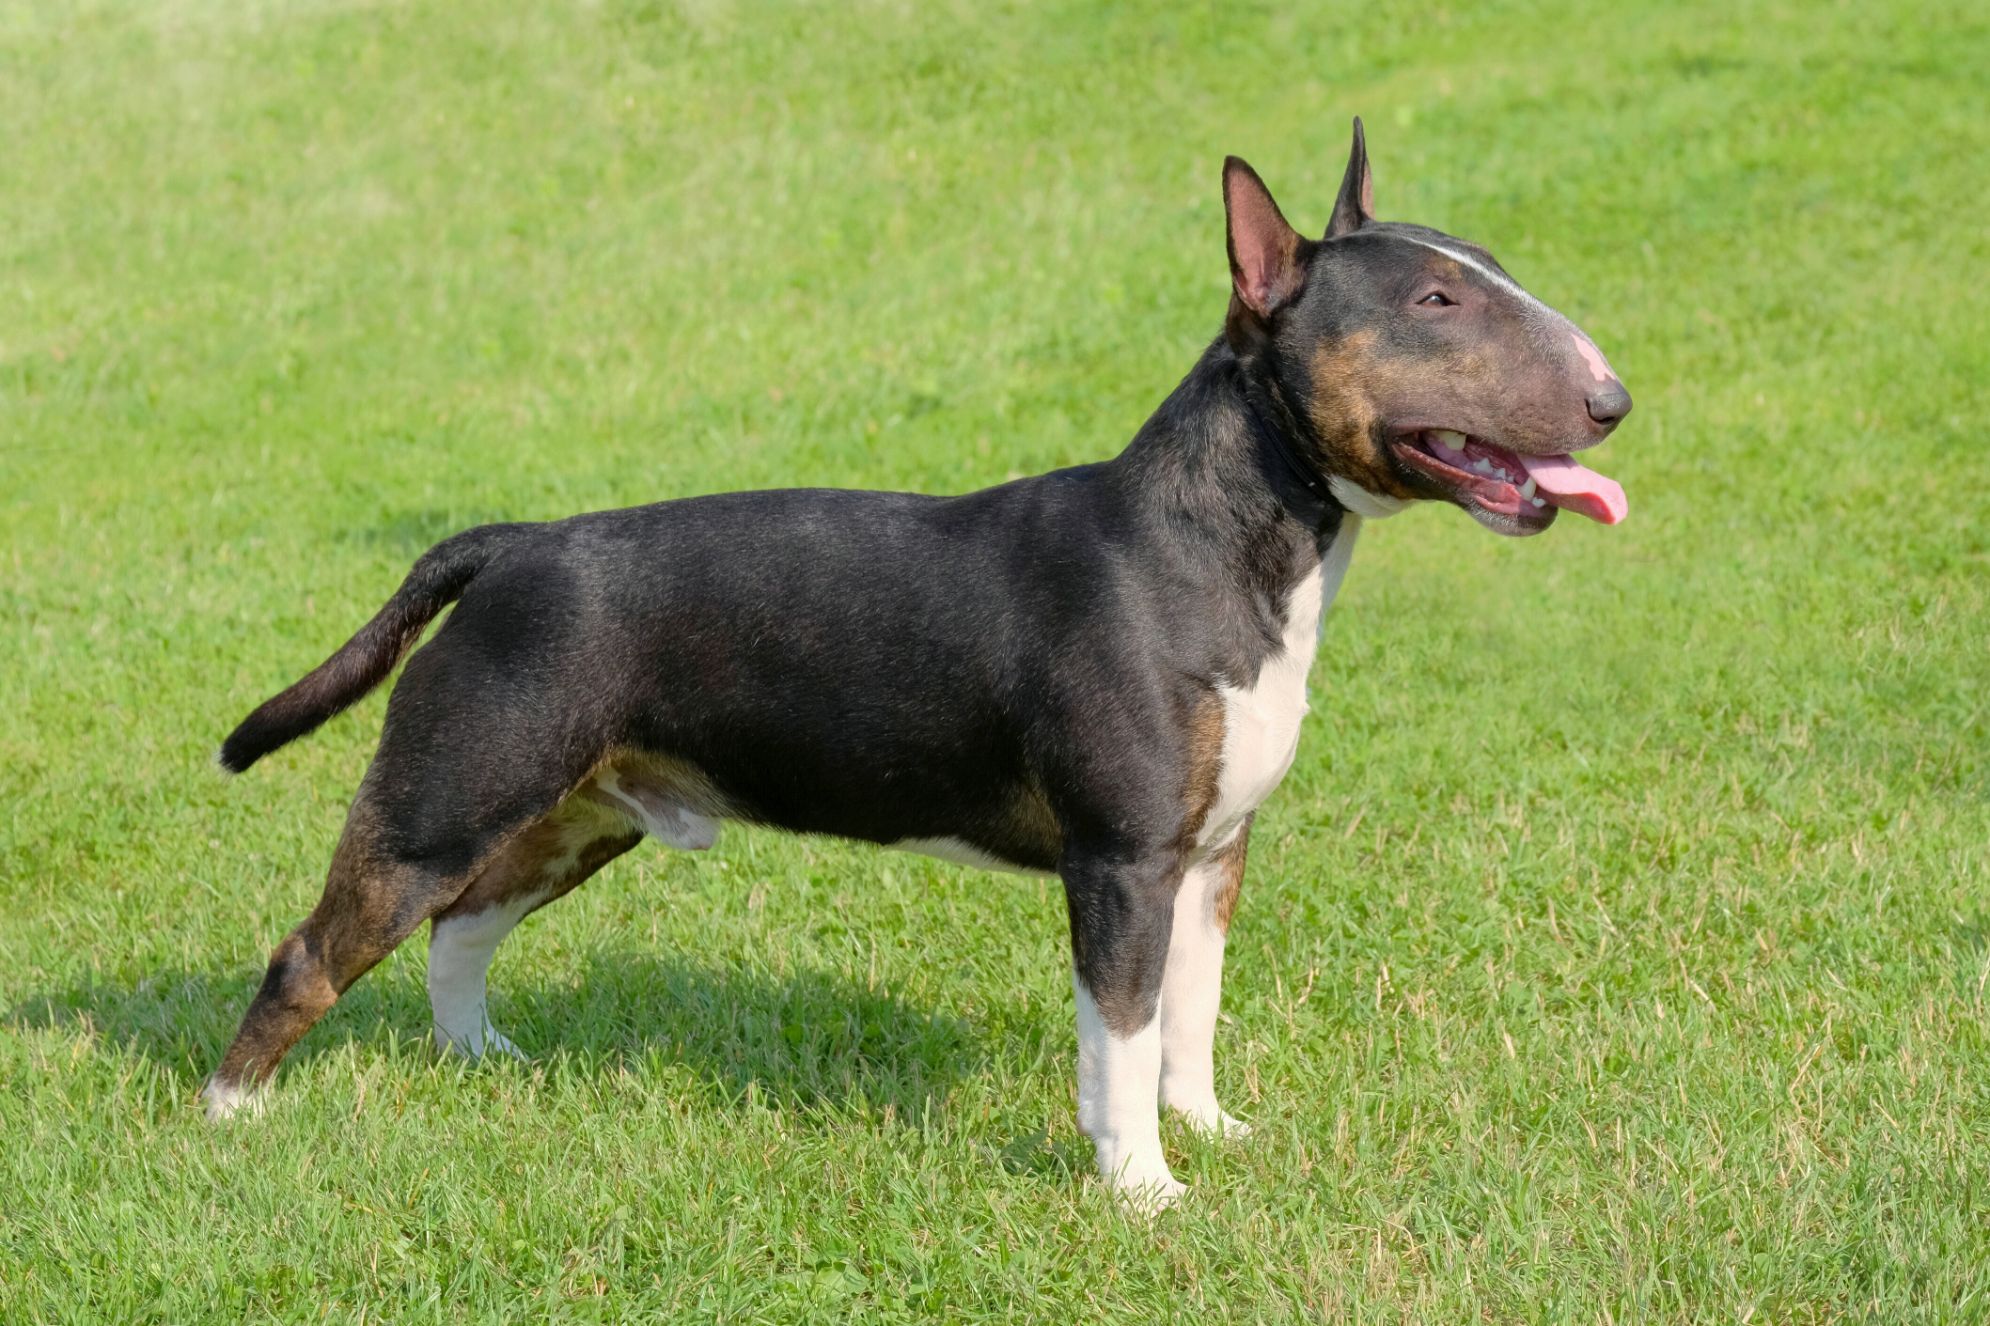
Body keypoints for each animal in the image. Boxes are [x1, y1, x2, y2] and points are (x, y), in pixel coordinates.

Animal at [201, 118, 1631, 1202]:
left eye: (1485, 268)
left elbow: (1192, 1015)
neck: (1221, 541)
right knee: (315, 952)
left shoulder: (1211, 855)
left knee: (461, 927)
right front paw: (1141, 1189)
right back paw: (227, 1117)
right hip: (444, 797)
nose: (1612, 398)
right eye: (1434, 302)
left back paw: (481, 1059)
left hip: (574, 811)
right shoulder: (1119, 863)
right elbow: (1119, 1037)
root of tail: (512, 546)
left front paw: (1211, 1132)